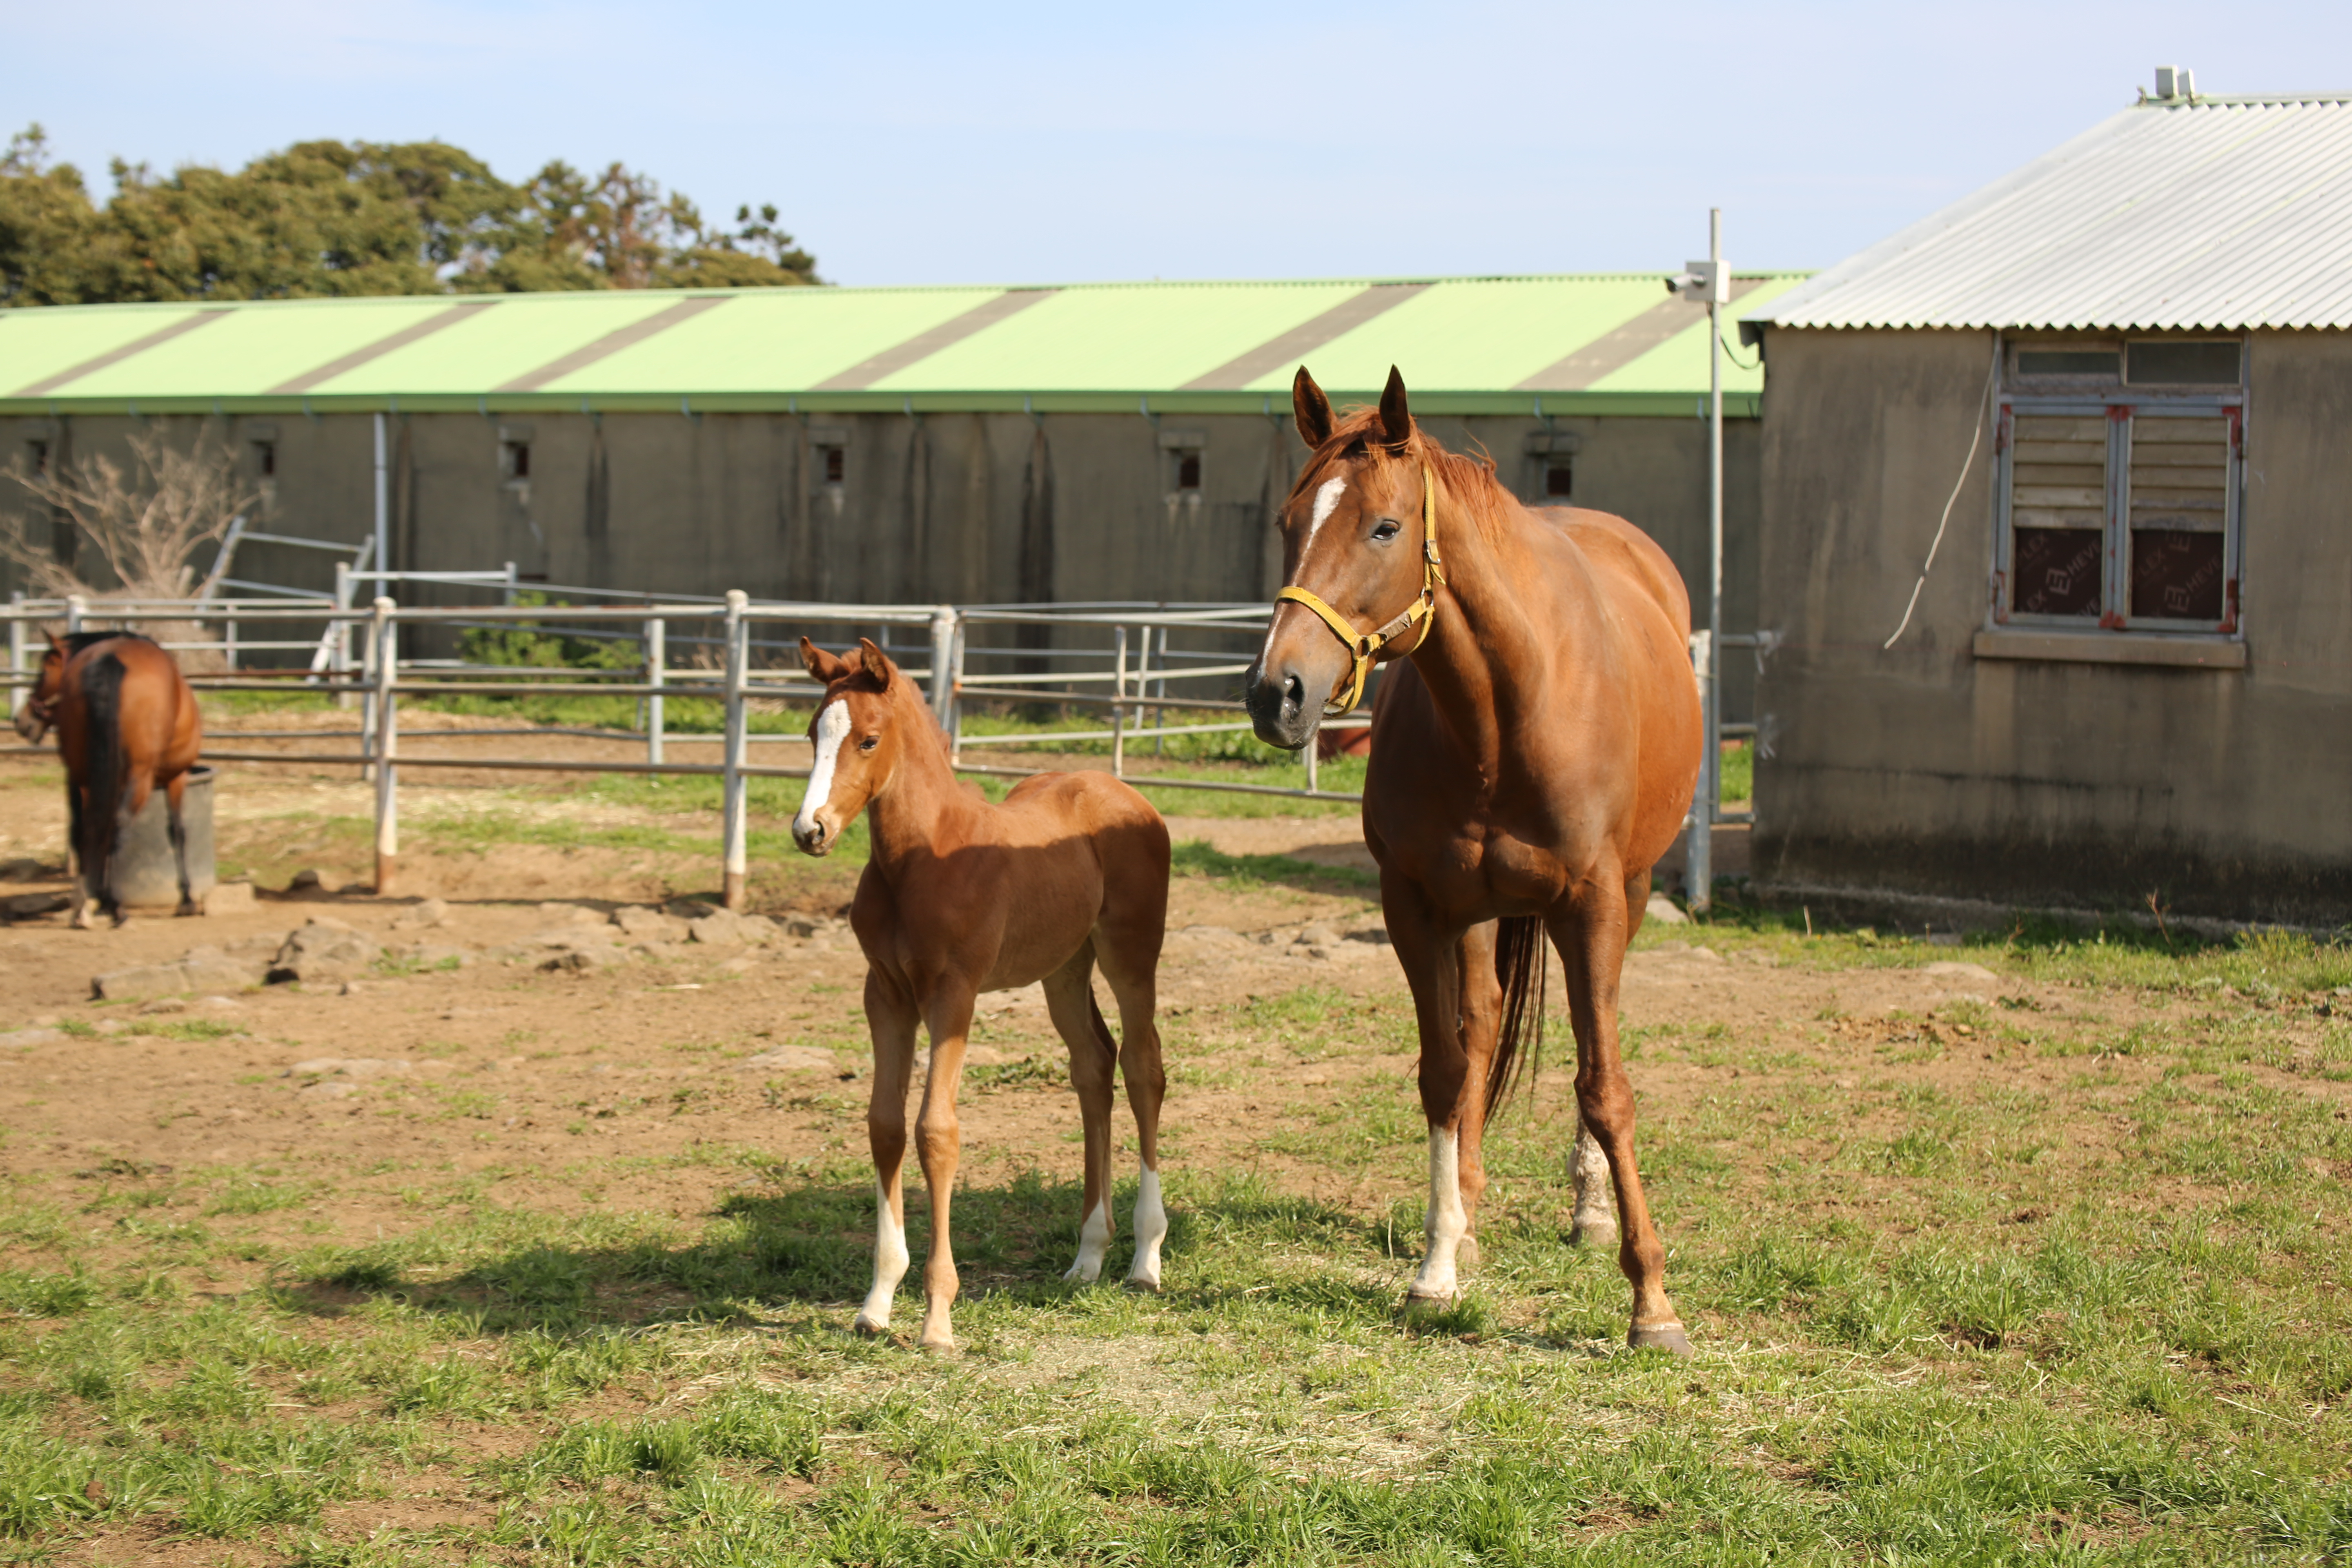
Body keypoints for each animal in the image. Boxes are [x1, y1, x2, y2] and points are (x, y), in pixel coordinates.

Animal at [15, 630, 205, 926]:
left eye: (44, 672)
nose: (21, 722)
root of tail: (111, 658)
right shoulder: (176, 777)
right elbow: (178, 832)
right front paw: (186, 899)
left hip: (80, 773)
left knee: (84, 829)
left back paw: (86, 905)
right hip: (140, 778)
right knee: (118, 826)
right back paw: (115, 906)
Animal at [785, 639, 1171, 1354]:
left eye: (868, 740)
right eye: (812, 734)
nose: (810, 830)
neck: (920, 859)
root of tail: (1123, 792)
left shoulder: (953, 995)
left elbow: (936, 1130)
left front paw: (938, 1316)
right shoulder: (885, 995)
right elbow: (885, 1125)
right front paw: (877, 1302)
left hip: (1130, 955)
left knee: (1142, 1069)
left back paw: (1145, 1259)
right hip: (1064, 967)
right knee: (1093, 1067)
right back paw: (1088, 1256)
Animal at [1251, 371, 1712, 1363]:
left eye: (1384, 528)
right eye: (1289, 520)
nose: (1278, 695)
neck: (1508, 706)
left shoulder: (1593, 905)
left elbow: (1606, 1086)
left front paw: (1651, 1299)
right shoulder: (1418, 905)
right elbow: (1443, 1071)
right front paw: (1436, 1267)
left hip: (1629, 892)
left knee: (1585, 1042)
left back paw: (1587, 1211)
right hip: (1475, 916)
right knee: (1481, 1030)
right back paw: (1467, 1209)